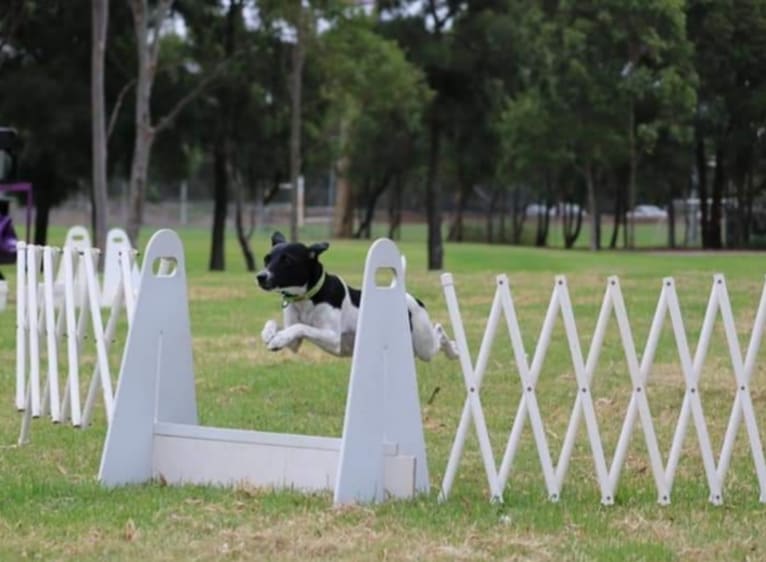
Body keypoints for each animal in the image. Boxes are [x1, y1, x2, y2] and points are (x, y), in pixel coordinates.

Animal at [258, 231, 462, 358]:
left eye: (287, 261)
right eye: (267, 259)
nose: (260, 277)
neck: (307, 297)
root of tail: (410, 297)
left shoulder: (333, 337)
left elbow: (301, 326)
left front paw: (278, 337)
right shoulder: (295, 344)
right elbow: (276, 324)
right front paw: (270, 334)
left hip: (423, 345)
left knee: (439, 334)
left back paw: (454, 350)